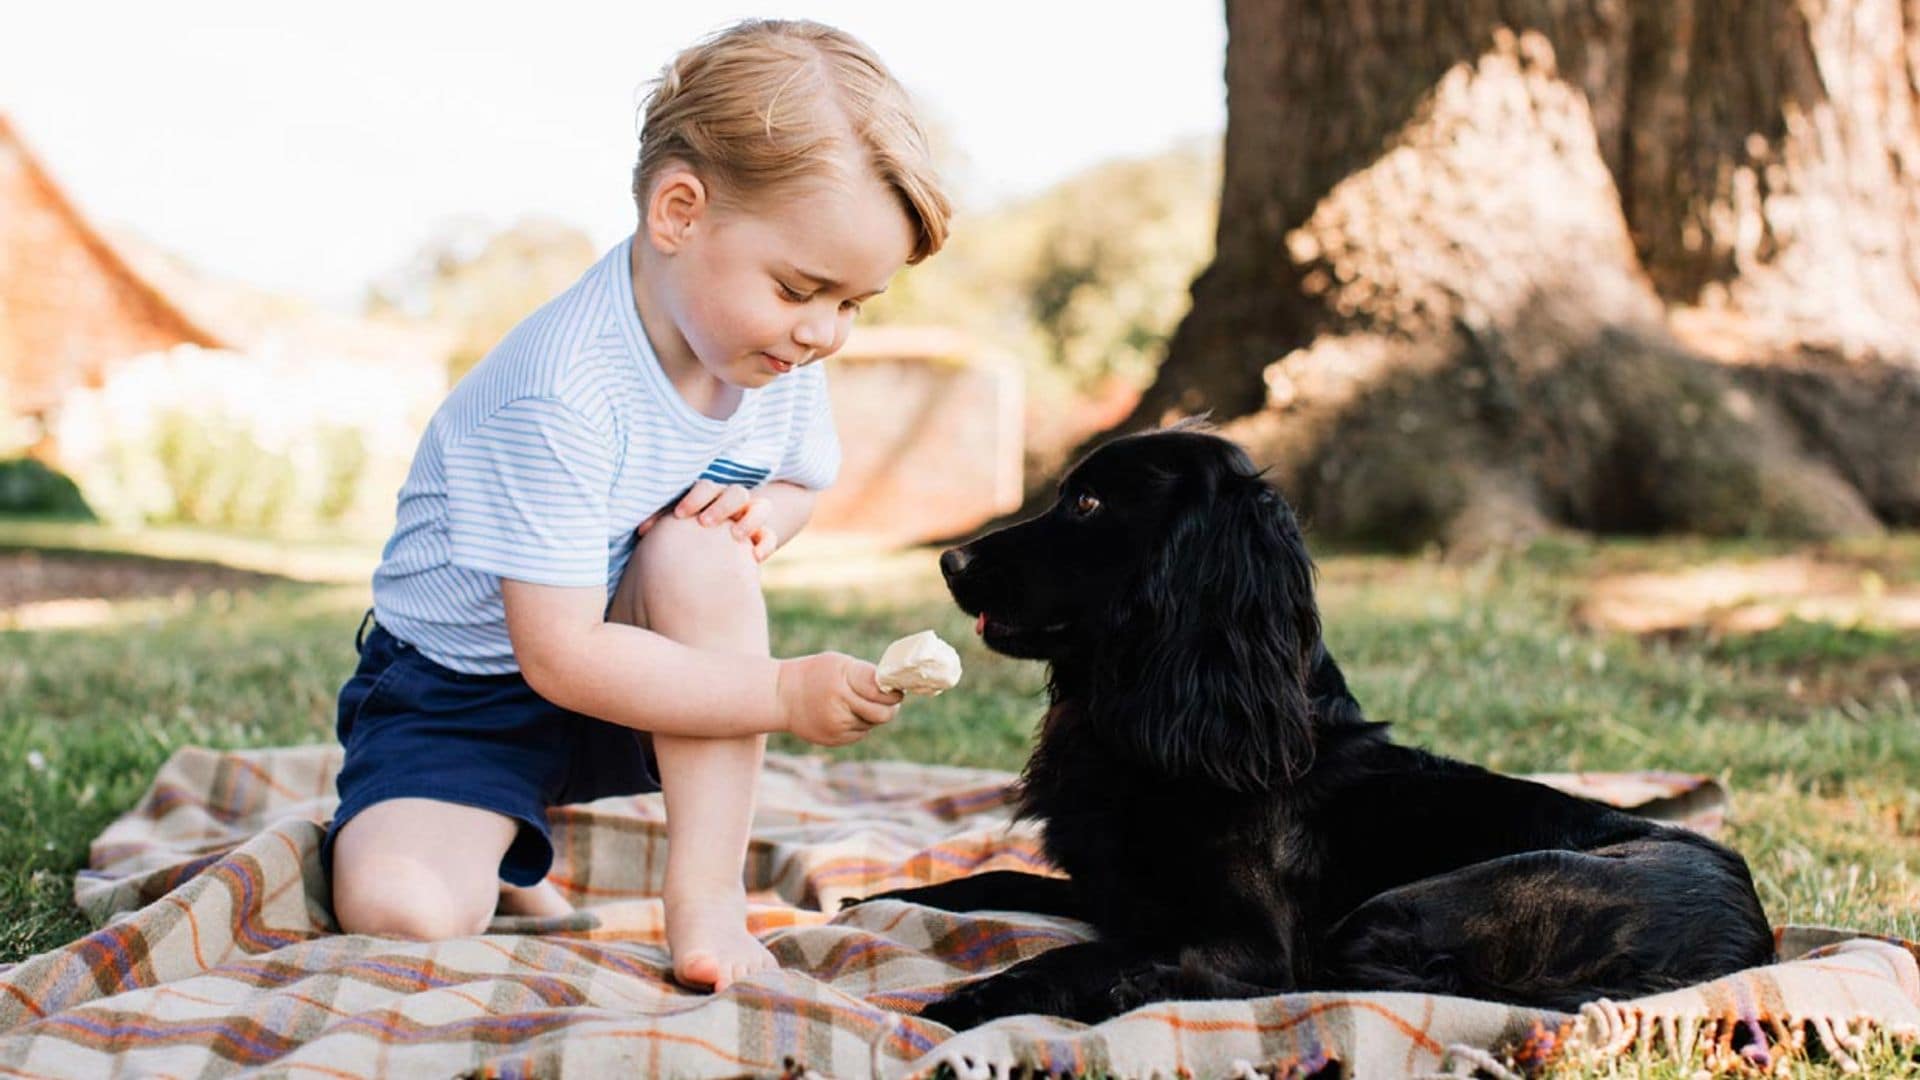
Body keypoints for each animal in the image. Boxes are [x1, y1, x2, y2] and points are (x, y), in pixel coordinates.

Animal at [864, 424, 1774, 1022]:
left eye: (1087, 502)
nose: (949, 560)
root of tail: (1746, 946)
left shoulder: (1245, 933)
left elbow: (1090, 951)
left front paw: (975, 998)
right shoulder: (1115, 891)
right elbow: (986, 881)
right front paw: (873, 897)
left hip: (1408, 908)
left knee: (1328, 983)